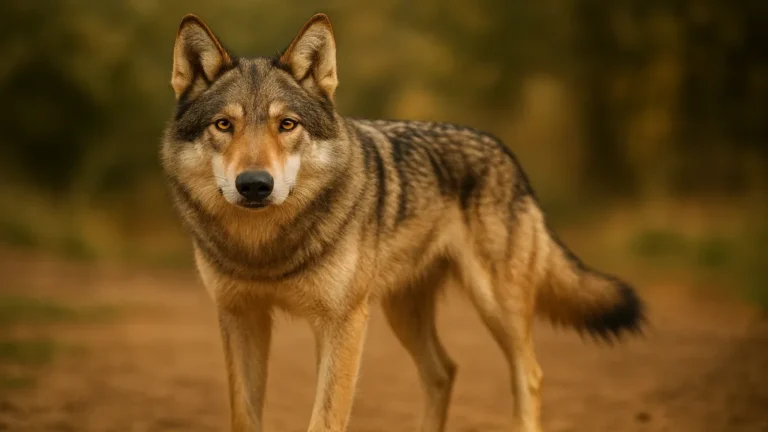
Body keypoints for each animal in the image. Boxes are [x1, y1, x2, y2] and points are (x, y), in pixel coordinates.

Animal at [160, 12, 644, 432]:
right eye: (224, 124)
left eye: (287, 125)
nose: (255, 185)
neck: (263, 248)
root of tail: (506, 153)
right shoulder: (241, 317)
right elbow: (244, 416)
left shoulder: (342, 324)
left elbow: (326, 418)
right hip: (403, 312)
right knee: (443, 371)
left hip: (495, 306)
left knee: (530, 374)